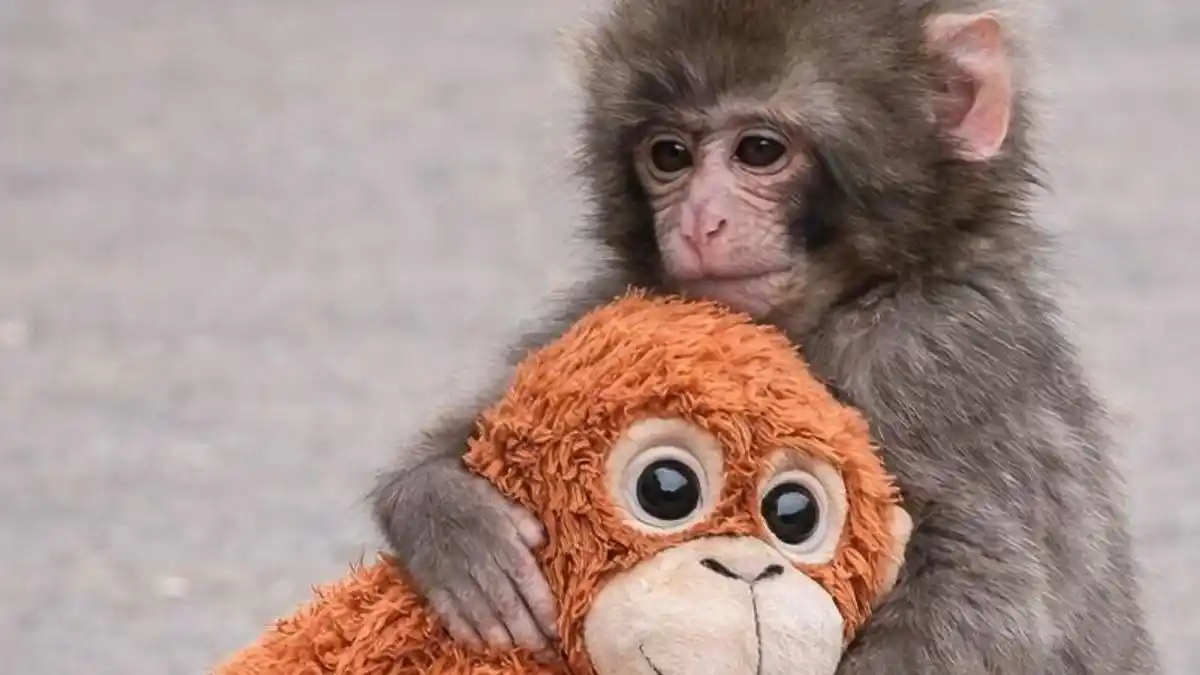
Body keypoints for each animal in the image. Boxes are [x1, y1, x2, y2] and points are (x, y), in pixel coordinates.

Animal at [371, 0, 1162, 673]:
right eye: (669, 155)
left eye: (758, 150)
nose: (698, 222)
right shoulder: (619, 305)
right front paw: (452, 521)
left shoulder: (932, 354)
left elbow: (984, 591)